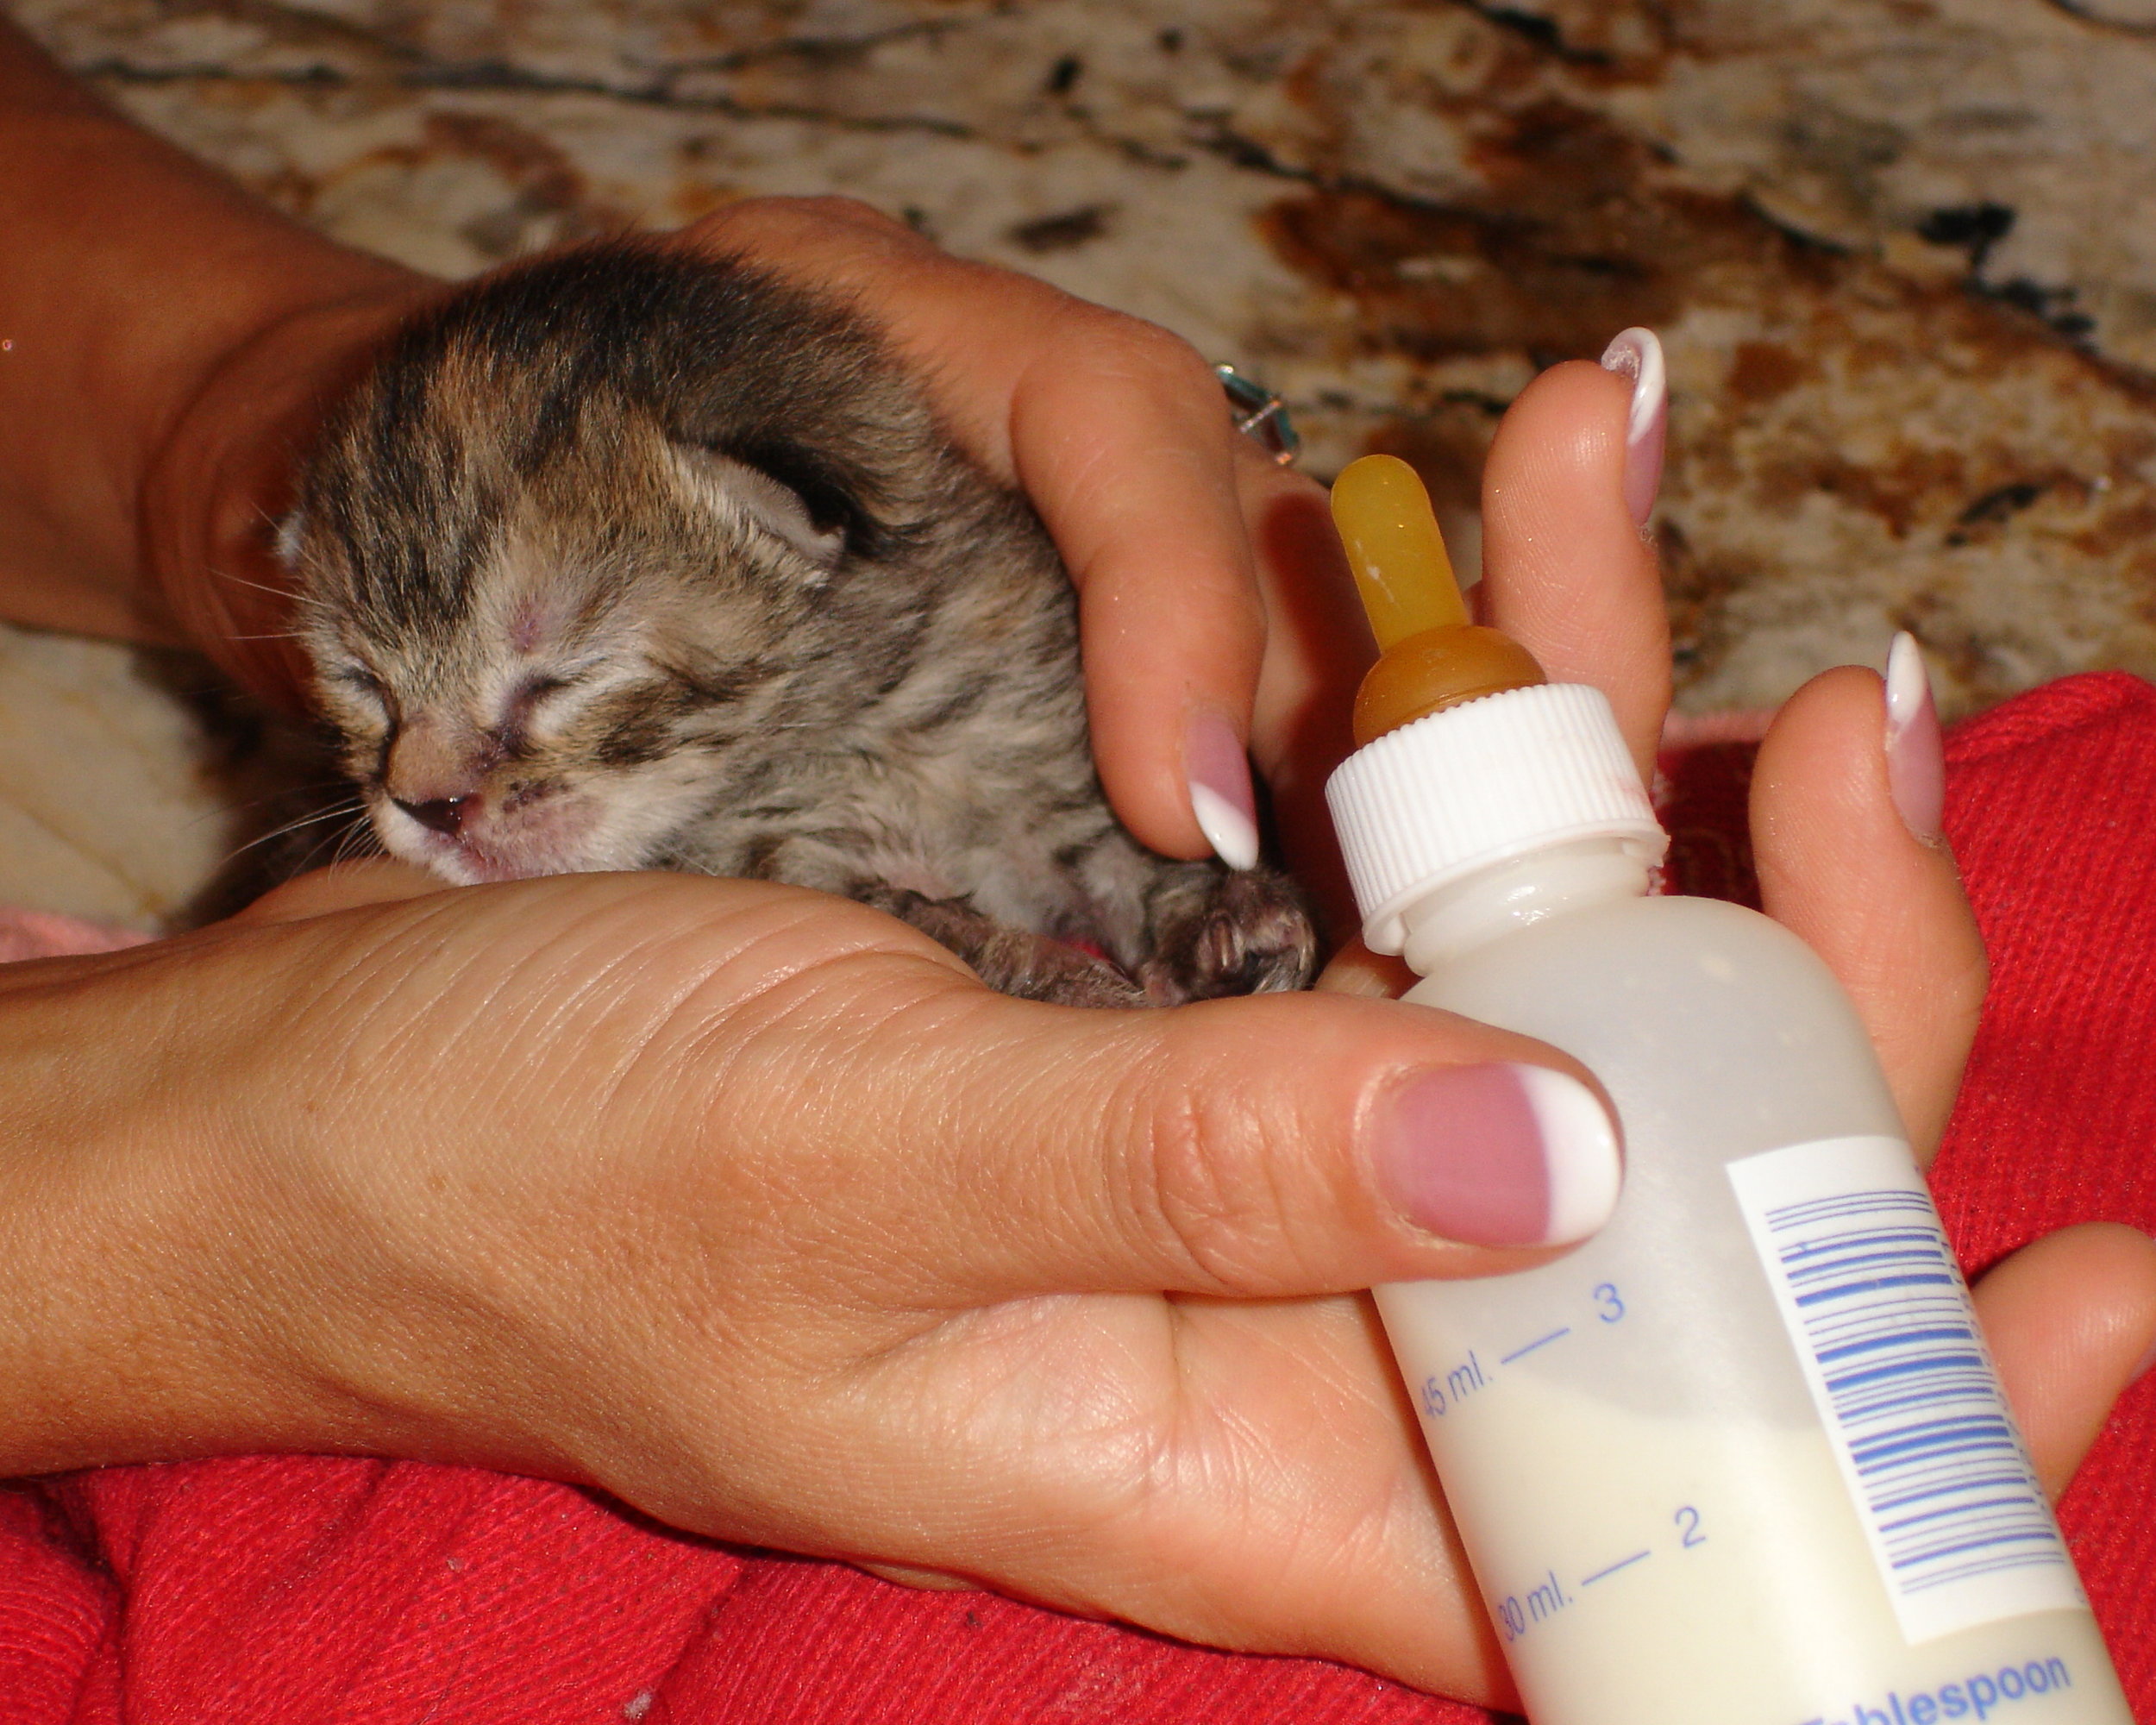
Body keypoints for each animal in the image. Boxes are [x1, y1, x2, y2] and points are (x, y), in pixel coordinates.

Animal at [276, 235, 1311, 1005]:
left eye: (564, 676)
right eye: (365, 685)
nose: (426, 806)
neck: (845, 722)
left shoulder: (1034, 740)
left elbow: (1119, 848)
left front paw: (1223, 914)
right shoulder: (769, 856)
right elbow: (910, 911)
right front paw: (1041, 966)